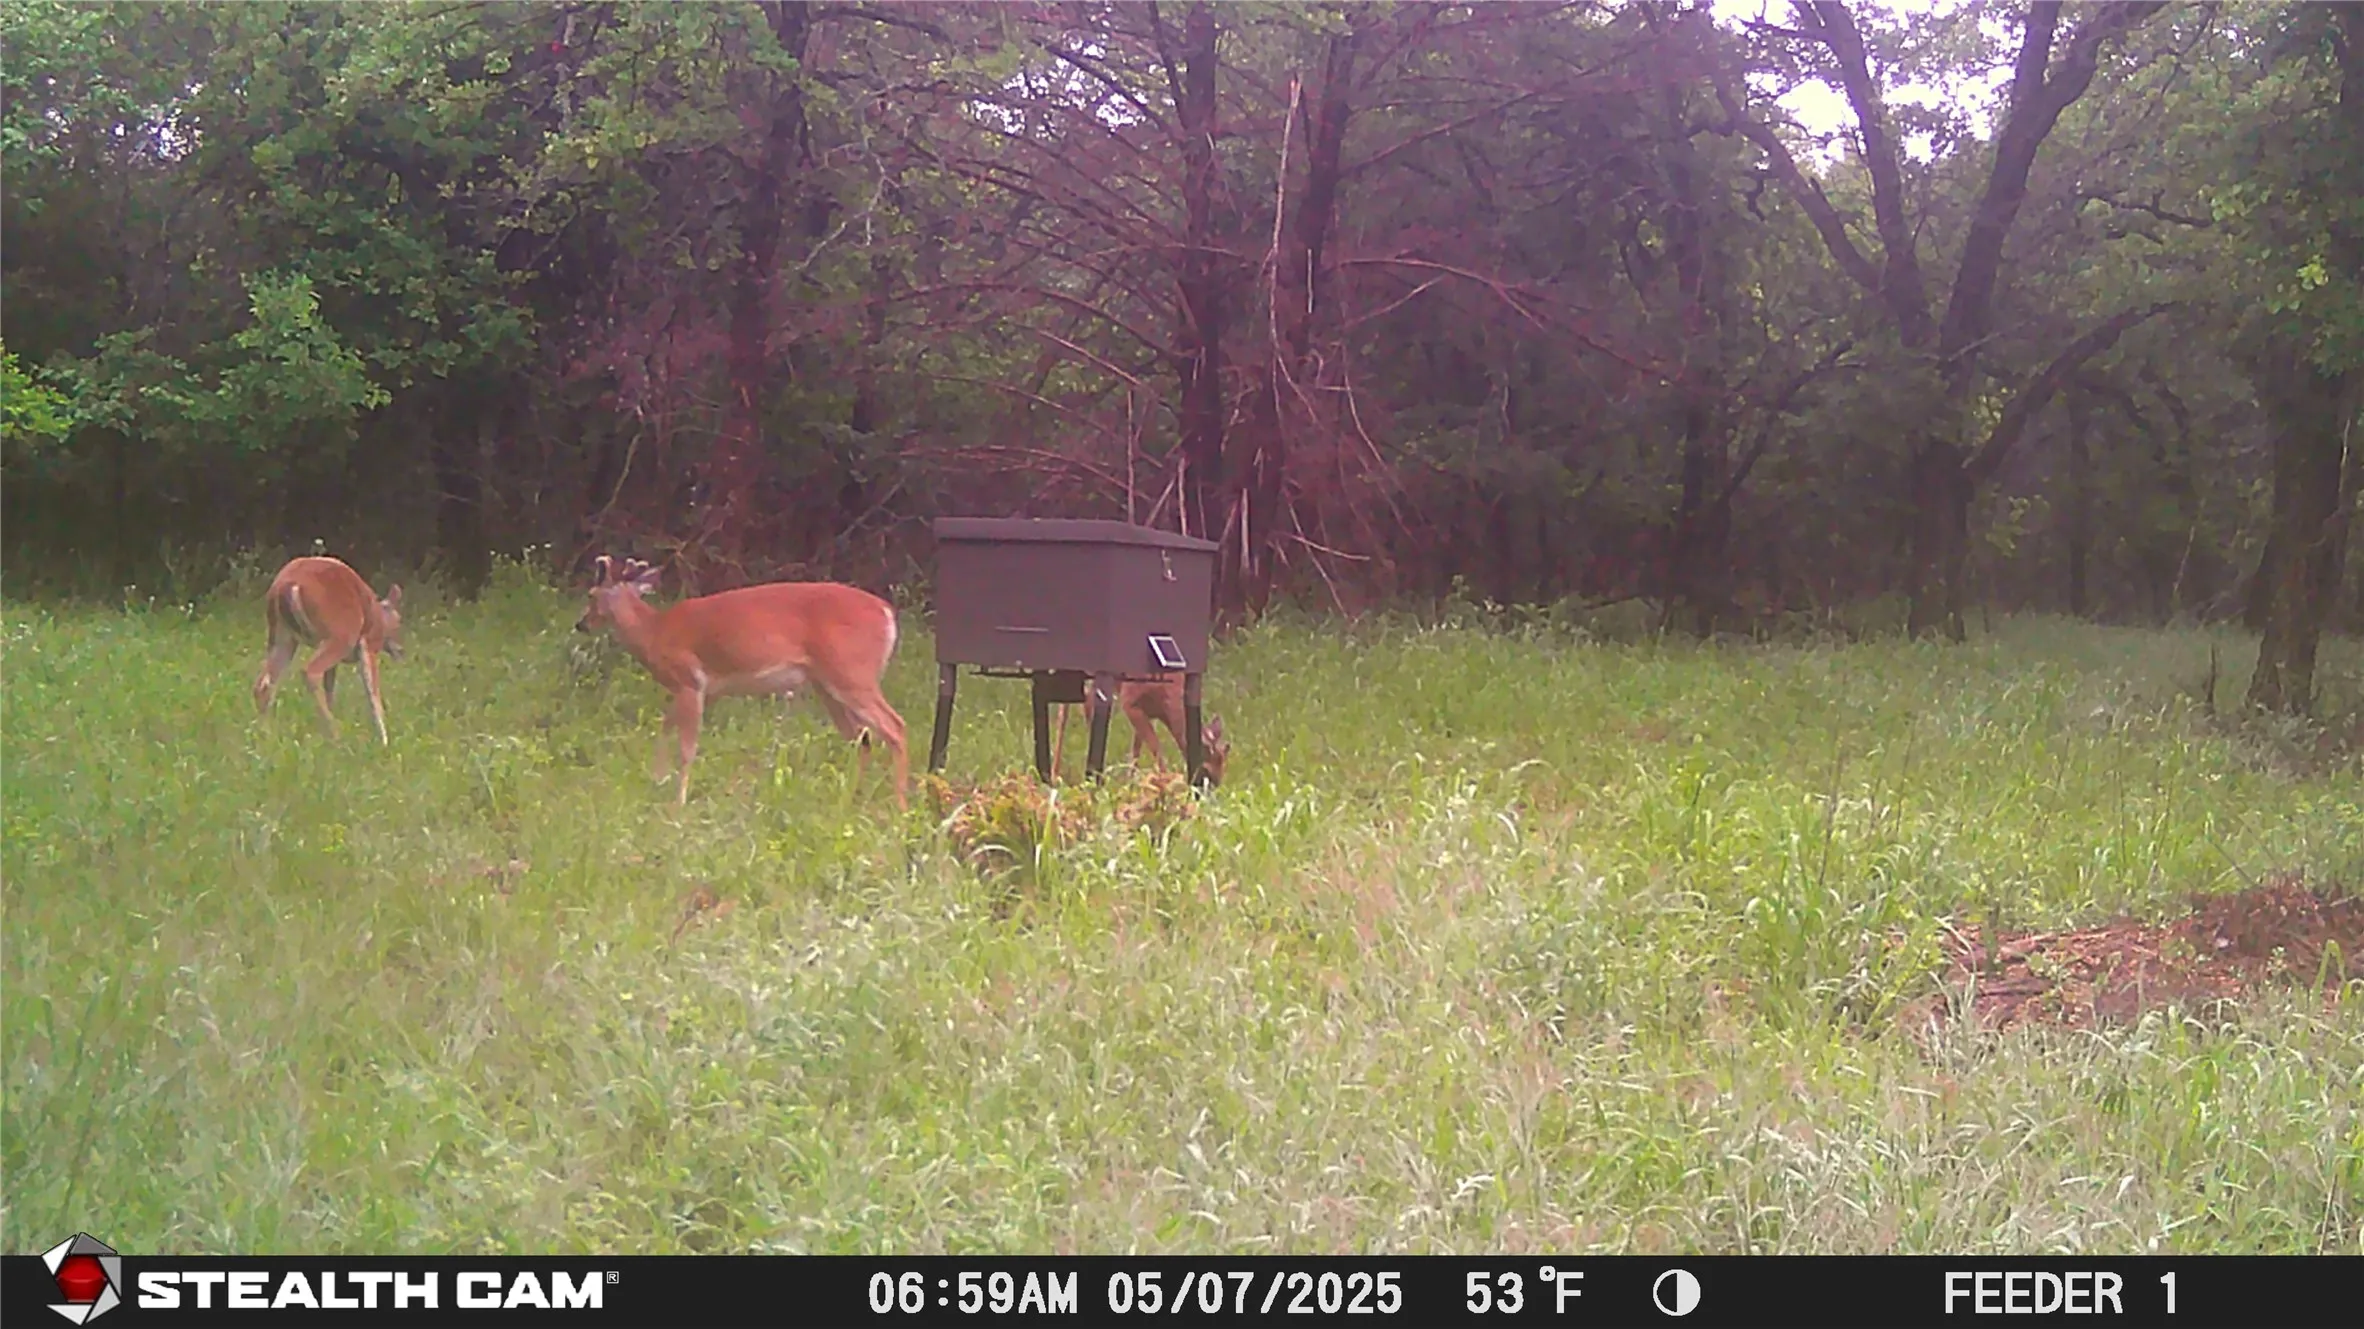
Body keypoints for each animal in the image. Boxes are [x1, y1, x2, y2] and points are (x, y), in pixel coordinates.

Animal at [252, 555, 406, 744]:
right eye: (399, 622)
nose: (401, 650)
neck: (379, 618)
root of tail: (287, 585)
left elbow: (330, 688)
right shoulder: (369, 643)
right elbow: (373, 694)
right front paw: (384, 741)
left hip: (282, 635)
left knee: (263, 684)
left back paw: (266, 736)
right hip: (340, 635)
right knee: (309, 671)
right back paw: (335, 734)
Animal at [575, 555, 909, 809]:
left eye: (591, 594)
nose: (581, 624)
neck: (655, 632)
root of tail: (887, 613)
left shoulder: (690, 680)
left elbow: (687, 747)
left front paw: (678, 802)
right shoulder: (705, 690)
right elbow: (665, 726)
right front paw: (658, 778)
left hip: (852, 672)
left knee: (894, 726)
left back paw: (900, 807)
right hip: (828, 685)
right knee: (862, 737)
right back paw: (850, 800)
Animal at [1051, 674, 1230, 786]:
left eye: (1223, 766)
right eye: (1207, 769)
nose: (1213, 788)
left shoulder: (1148, 714)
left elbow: (1136, 750)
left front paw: (1130, 784)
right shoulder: (1130, 702)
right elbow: (1157, 750)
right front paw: (1165, 787)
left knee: (1088, 701)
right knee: (1065, 709)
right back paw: (1054, 775)